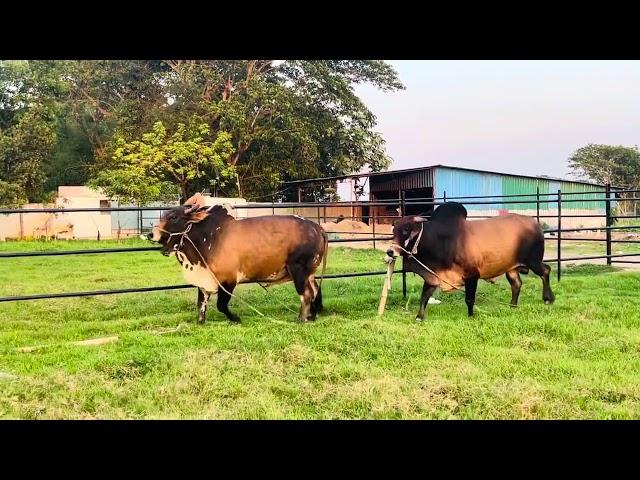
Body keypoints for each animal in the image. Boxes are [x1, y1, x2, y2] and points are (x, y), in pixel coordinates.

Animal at [149, 193, 328, 324]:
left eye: (173, 217)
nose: (151, 234)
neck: (209, 237)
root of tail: (317, 227)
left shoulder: (228, 279)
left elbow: (221, 305)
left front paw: (235, 318)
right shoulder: (205, 279)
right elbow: (201, 304)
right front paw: (200, 322)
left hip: (299, 269)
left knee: (306, 294)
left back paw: (301, 318)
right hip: (309, 272)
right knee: (315, 291)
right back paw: (312, 316)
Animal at [384, 201, 556, 320]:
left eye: (406, 229)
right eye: (394, 229)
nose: (390, 251)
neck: (443, 240)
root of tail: (535, 223)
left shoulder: (472, 275)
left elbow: (469, 298)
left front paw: (471, 316)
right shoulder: (433, 276)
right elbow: (424, 296)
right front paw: (419, 317)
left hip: (533, 260)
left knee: (545, 271)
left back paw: (548, 299)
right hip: (511, 268)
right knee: (517, 284)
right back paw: (513, 306)